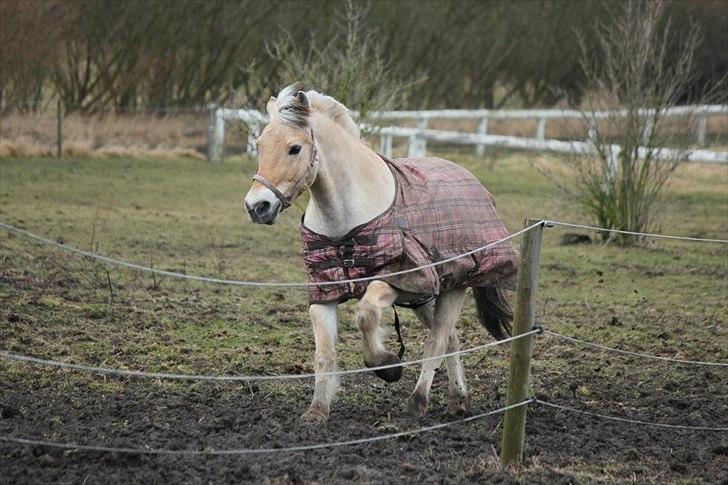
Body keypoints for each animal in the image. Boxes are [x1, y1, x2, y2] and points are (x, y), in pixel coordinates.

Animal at [245, 84, 516, 424]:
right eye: (259, 145)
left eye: (295, 148)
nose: (257, 206)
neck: (345, 220)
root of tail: (469, 177)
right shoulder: (323, 291)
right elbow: (324, 353)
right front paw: (317, 411)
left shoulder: (399, 278)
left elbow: (366, 314)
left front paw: (387, 366)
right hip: (425, 299)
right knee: (451, 339)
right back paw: (457, 401)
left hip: (453, 287)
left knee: (438, 339)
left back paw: (418, 401)